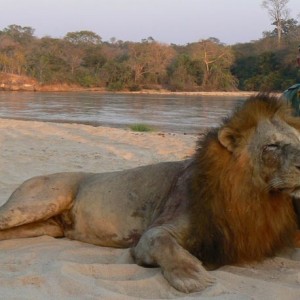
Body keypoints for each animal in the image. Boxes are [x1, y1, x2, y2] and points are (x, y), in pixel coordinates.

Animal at [0, 95, 300, 292]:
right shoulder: (153, 233)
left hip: (47, 228)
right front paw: (195, 277)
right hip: (40, 202)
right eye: (272, 146)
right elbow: (162, 243)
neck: (256, 197)